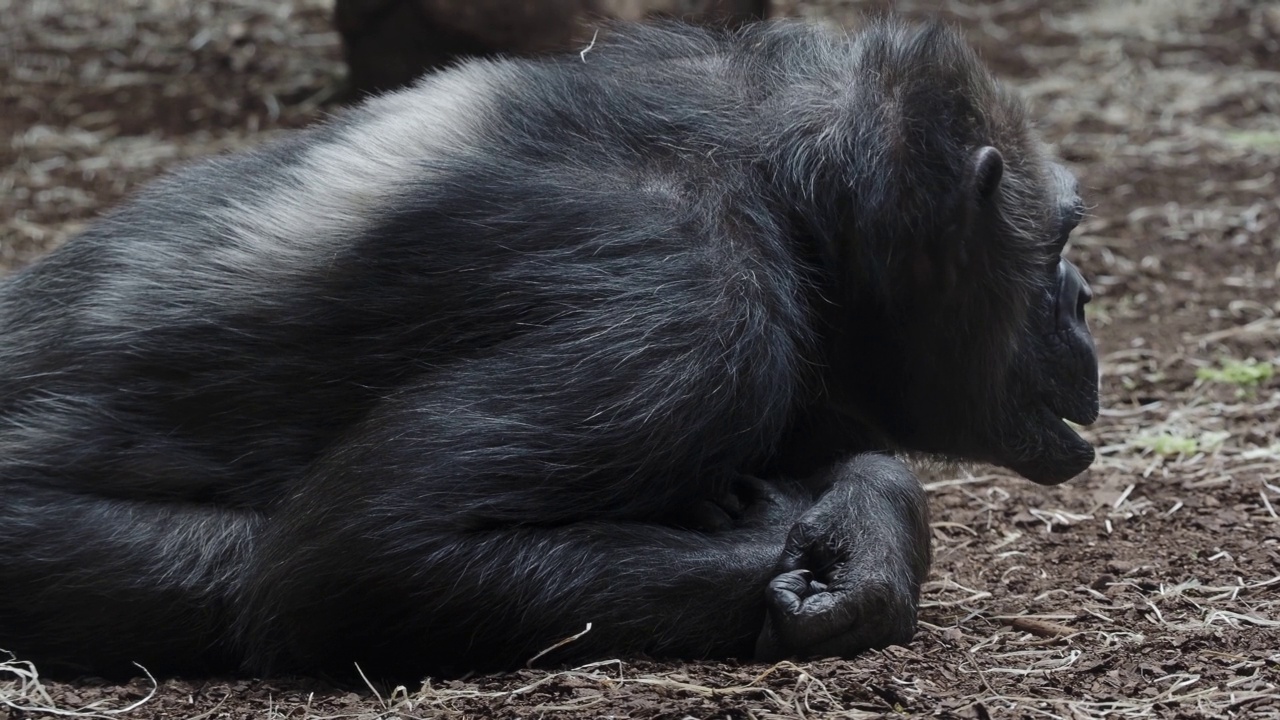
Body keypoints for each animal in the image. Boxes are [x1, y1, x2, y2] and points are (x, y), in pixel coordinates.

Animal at [0, 18, 1100, 676]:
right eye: (1059, 244)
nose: (1083, 301)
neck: (781, 188)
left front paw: (860, 527)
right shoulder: (686, 314)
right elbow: (367, 556)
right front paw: (784, 543)